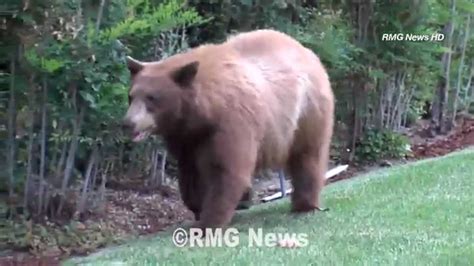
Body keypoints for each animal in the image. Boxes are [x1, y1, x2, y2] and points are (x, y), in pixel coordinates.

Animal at [124, 28, 336, 229]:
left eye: (152, 98)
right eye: (131, 96)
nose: (128, 122)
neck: (204, 111)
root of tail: (308, 52)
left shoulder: (232, 123)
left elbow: (225, 171)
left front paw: (209, 221)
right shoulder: (186, 138)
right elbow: (190, 173)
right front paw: (197, 206)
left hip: (307, 112)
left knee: (308, 156)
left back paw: (305, 205)